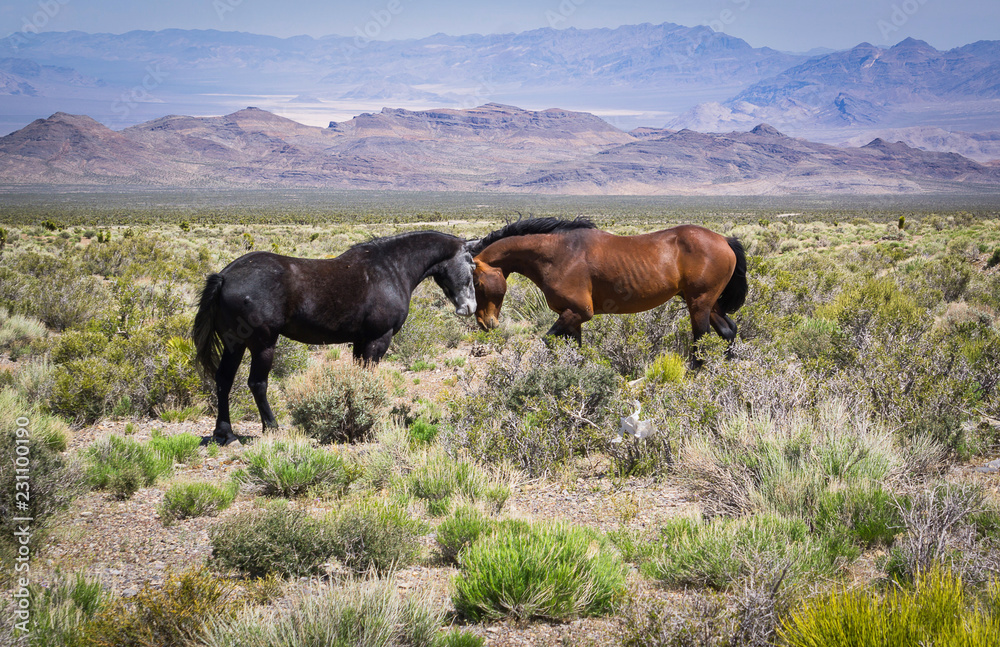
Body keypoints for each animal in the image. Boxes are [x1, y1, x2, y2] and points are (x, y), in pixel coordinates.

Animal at [193, 231, 476, 445]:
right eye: (472, 266)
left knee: (224, 380)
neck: (391, 269)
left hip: (235, 345)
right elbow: (367, 379)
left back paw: (226, 434)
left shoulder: (361, 341)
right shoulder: (378, 340)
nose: (470, 307)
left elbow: (358, 377)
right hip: (263, 344)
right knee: (257, 384)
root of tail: (225, 275)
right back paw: (272, 427)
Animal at [467, 218, 747, 365]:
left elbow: (548, 341)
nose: (484, 323)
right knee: (727, 331)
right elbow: (574, 348)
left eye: (477, 283)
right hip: (707, 303)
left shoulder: (580, 312)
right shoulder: (571, 317)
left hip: (699, 304)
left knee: (702, 340)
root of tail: (724, 240)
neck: (558, 254)